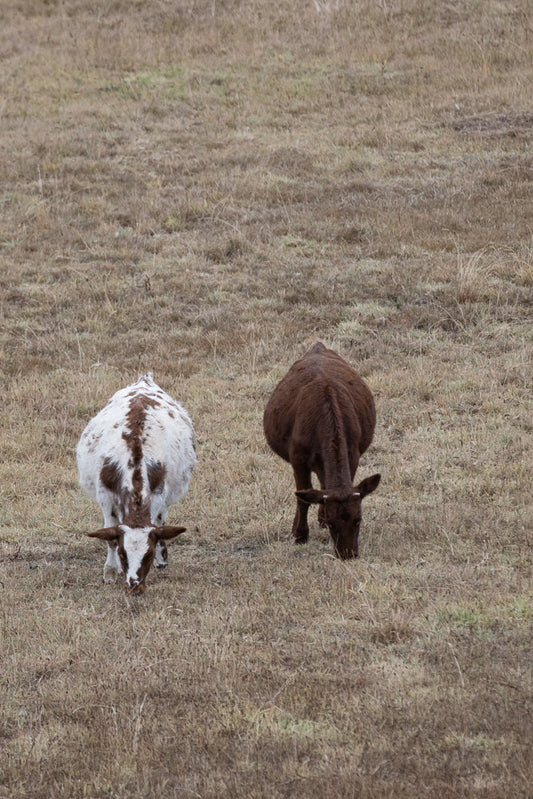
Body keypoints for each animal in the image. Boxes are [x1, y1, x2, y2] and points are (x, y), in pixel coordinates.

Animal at [263, 342, 380, 559]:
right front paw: (300, 534)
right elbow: (302, 497)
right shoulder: (297, 459)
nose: (347, 554)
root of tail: (318, 346)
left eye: (358, 519)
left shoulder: (353, 454)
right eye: (334, 523)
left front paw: (320, 518)